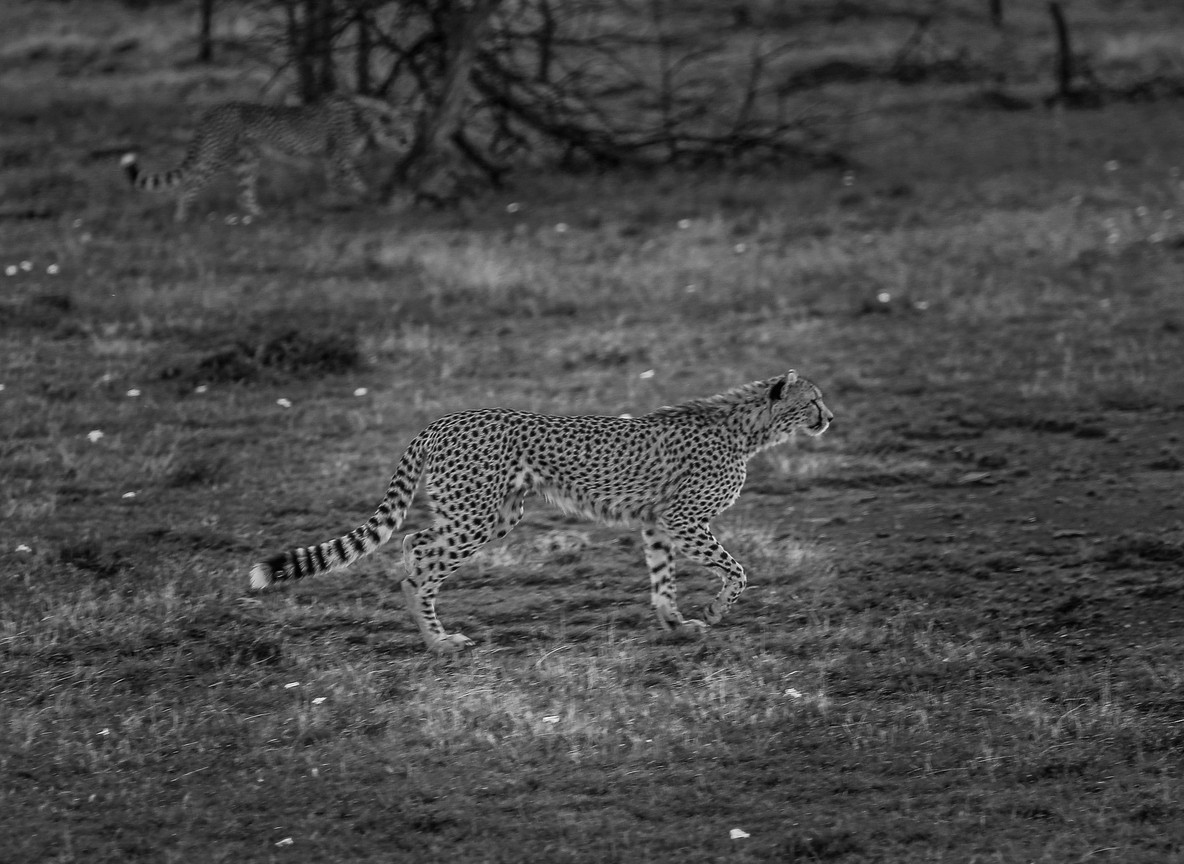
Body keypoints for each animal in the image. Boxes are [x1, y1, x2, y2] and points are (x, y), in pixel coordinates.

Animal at [120, 94, 413, 222]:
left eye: (406, 129)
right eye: (394, 131)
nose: (406, 142)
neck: (365, 117)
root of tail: (213, 109)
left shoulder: (334, 159)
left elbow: (345, 180)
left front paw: (343, 200)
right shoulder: (337, 156)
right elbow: (350, 180)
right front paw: (357, 199)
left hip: (247, 160)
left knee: (243, 193)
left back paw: (259, 214)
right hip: (217, 156)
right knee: (190, 183)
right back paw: (181, 217)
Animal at [249, 370, 833, 654]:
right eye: (812, 400)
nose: (830, 417)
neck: (748, 428)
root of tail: (442, 420)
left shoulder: (656, 521)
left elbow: (662, 578)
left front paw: (676, 622)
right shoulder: (684, 519)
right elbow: (738, 571)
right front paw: (711, 612)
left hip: (495, 513)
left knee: (416, 544)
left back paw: (430, 630)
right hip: (477, 515)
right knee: (419, 563)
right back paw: (439, 642)